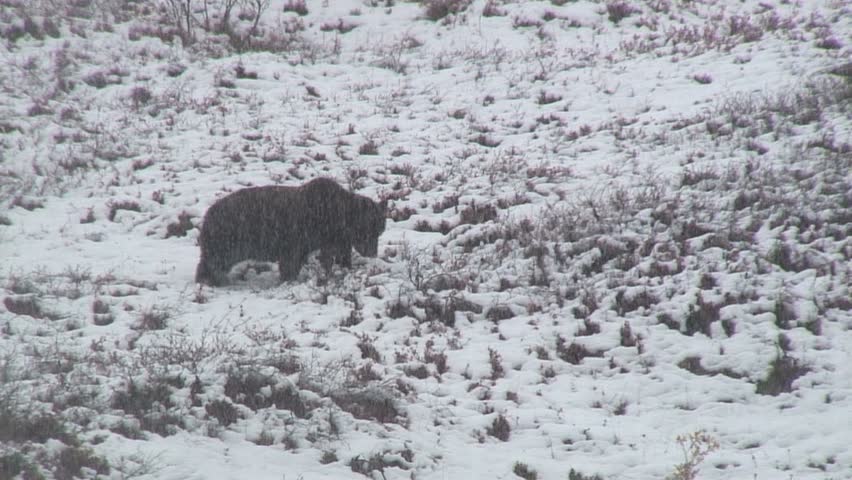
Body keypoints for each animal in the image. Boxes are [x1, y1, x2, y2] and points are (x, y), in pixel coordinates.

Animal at [195, 177, 386, 286]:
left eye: (379, 231)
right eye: (369, 231)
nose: (372, 252)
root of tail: (207, 216)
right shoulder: (298, 238)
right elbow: (292, 262)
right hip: (228, 238)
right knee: (215, 261)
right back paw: (212, 280)